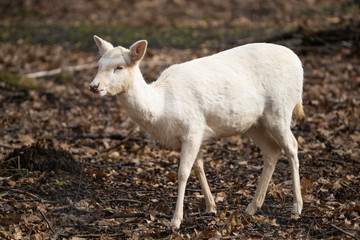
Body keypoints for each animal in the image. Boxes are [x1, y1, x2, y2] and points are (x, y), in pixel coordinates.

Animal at [90, 36, 304, 229]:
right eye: (99, 64)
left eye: (119, 67)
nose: (94, 86)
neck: (162, 107)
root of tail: (299, 62)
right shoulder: (196, 133)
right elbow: (199, 166)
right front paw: (211, 207)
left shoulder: (192, 129)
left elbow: (183, 172)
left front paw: (176, 221)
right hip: (255, 123)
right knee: (272, 151)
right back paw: (252, 207)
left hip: (280, 109)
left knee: (292, 146)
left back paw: (297, 207)